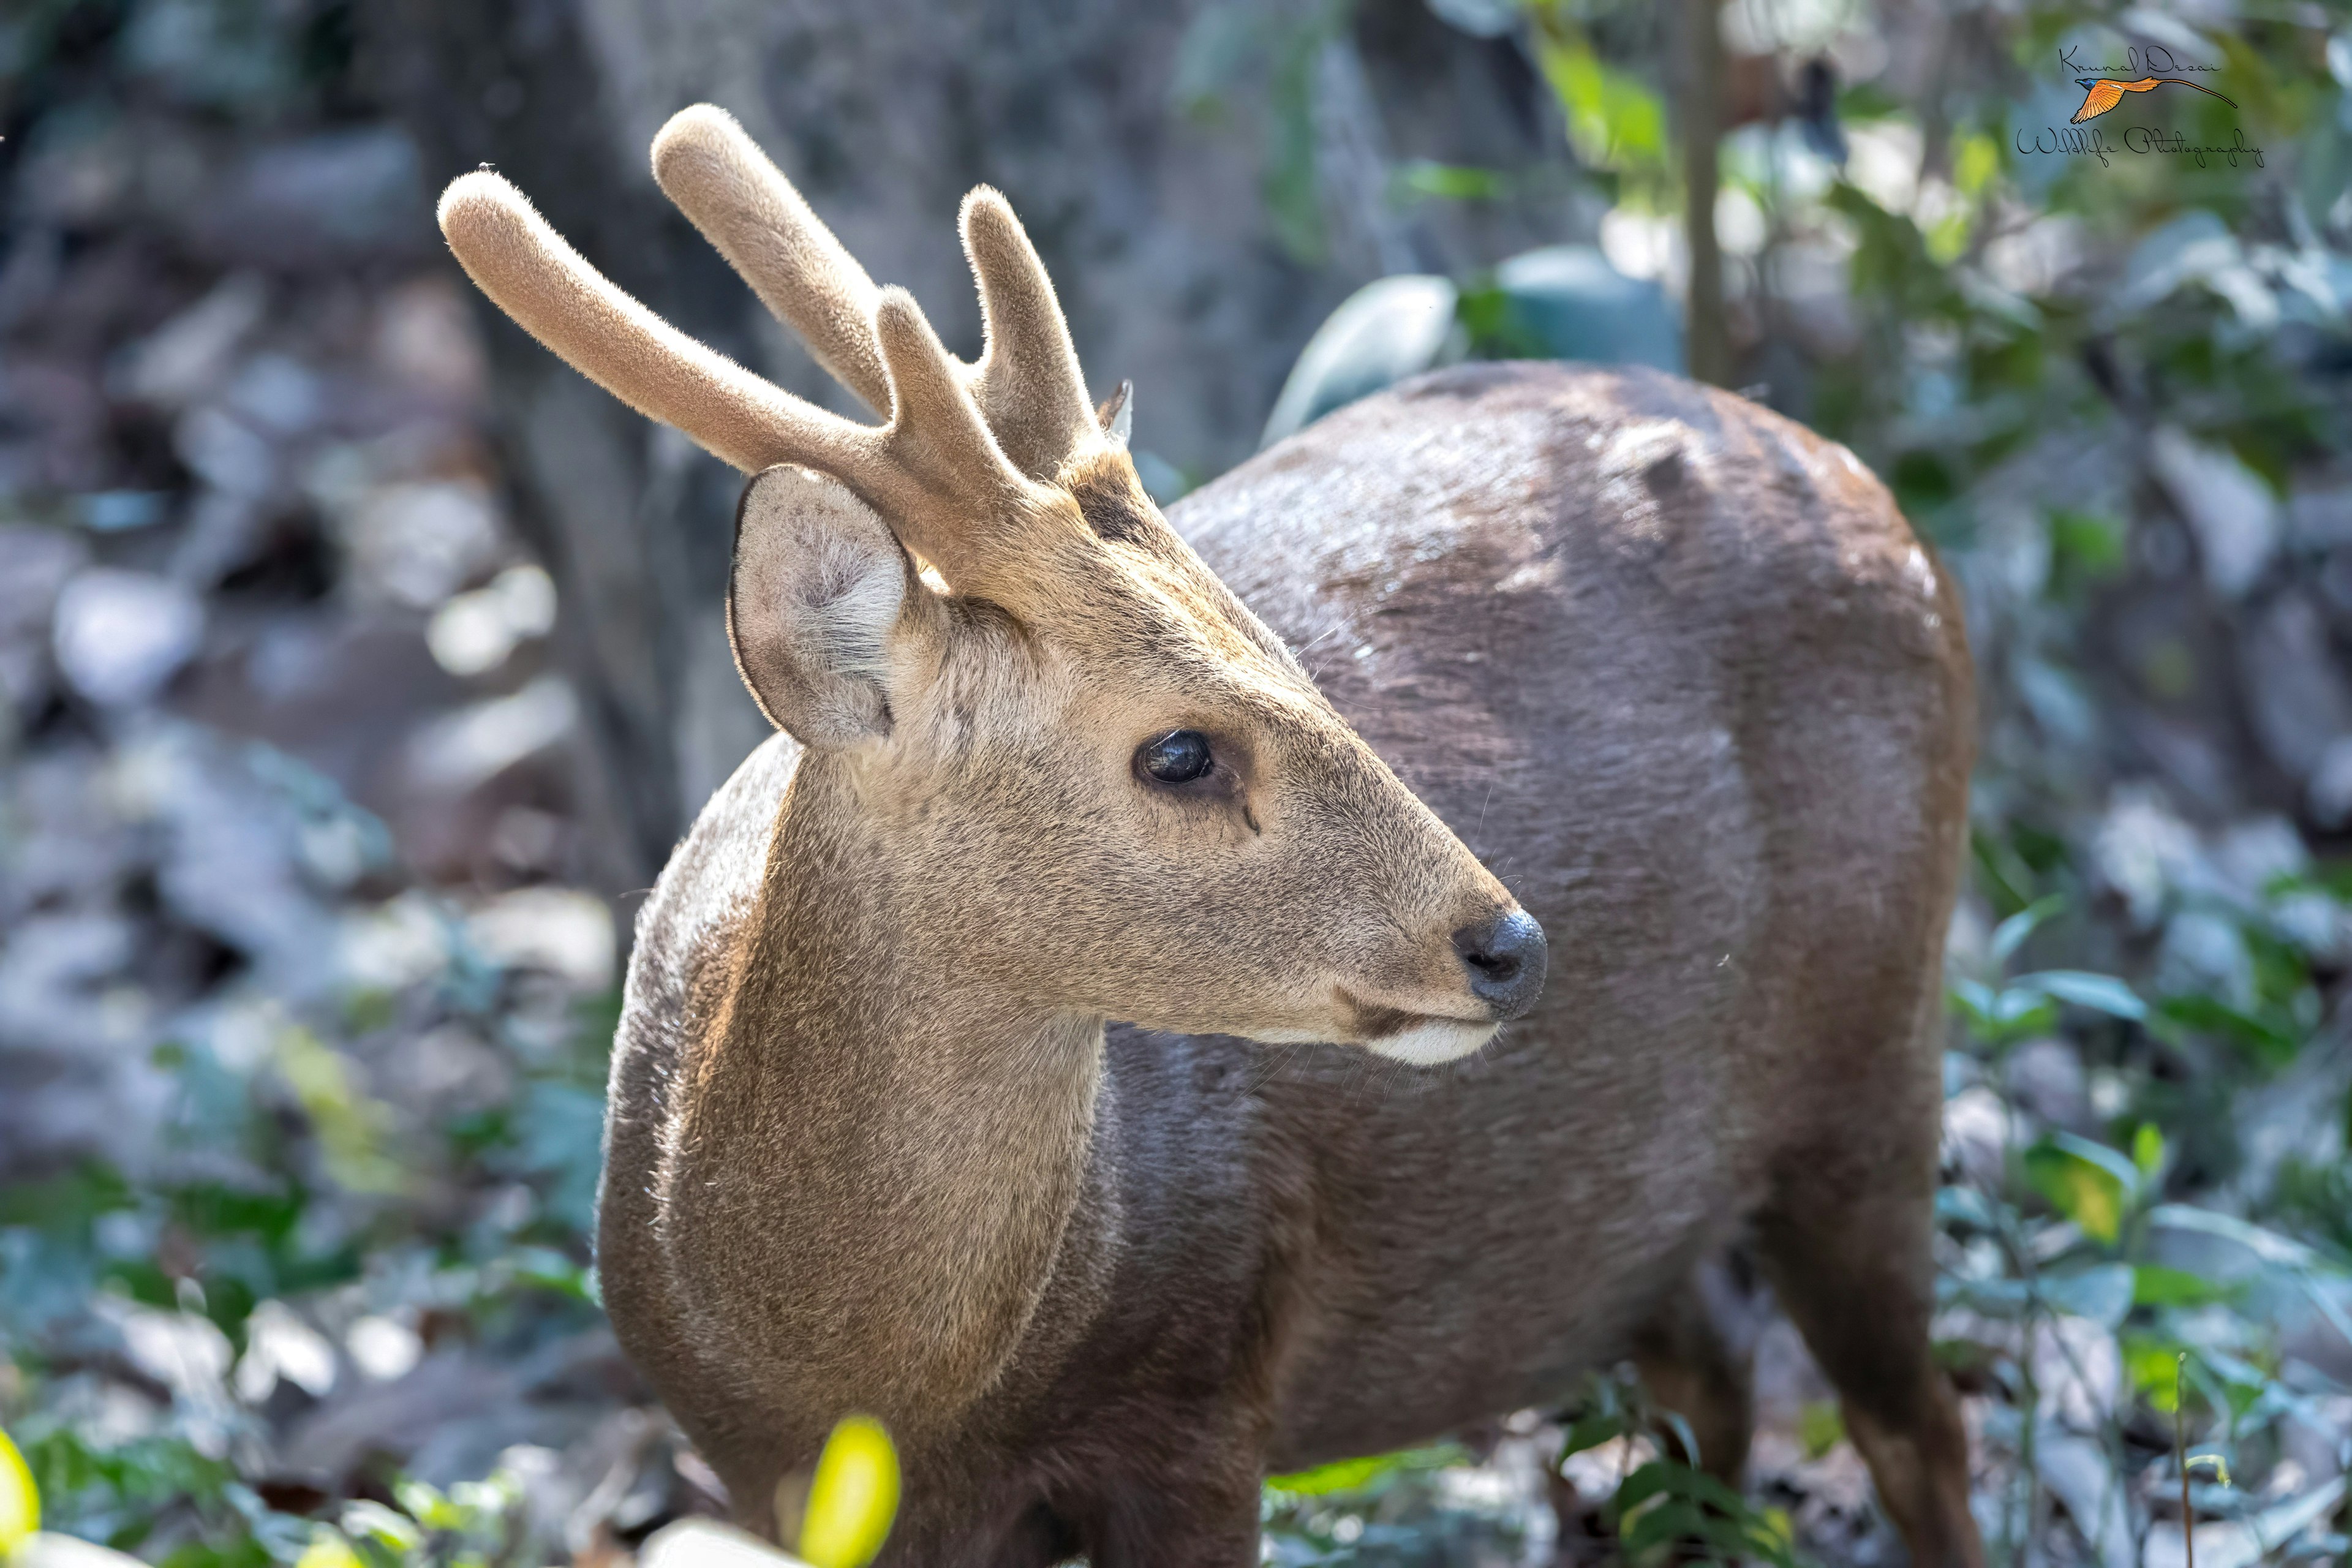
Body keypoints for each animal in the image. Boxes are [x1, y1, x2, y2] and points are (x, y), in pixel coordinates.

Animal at [442, 107, 1985, 1568]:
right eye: (1178, 749)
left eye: (1288, 656)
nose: (1506, 941)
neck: (874, 1375)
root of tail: (1866, 484)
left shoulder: (1195, 1396)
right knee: (1708, 1387)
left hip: (1879, 1047)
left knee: (1915, 1423)